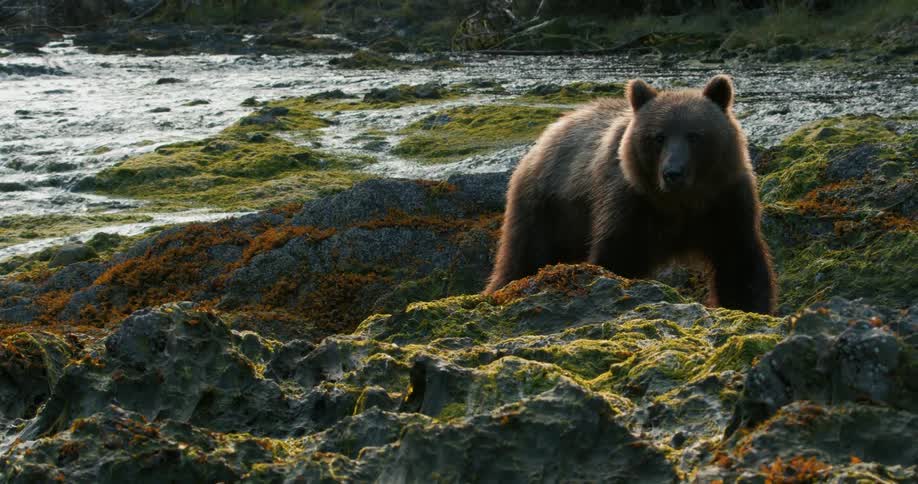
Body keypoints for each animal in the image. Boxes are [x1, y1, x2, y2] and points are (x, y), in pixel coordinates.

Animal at [484, 75, 776, 315]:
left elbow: (739, 263)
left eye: (695, 135)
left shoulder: (725, 201)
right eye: (658, 137)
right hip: (546, 207)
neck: (681, 203)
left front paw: (749, 306)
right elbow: (616, 256)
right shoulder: (629, 202)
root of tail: (544, 138)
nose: (673, 172)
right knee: (523, 258)